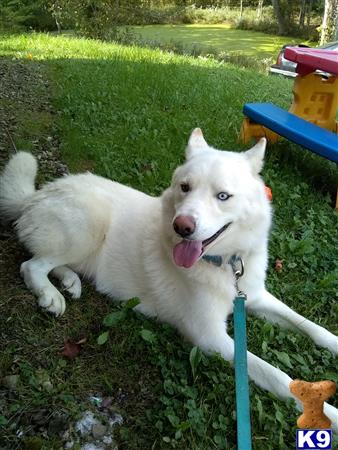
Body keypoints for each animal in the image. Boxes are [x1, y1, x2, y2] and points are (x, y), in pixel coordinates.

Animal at [1, 128, 338, 430]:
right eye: (185, 187)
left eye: (223, 196)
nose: (182, 226)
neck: (222, 264)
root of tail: (38, 194)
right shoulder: (211, 337)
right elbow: (277, 375)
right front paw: (329, 415)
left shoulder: (253, 297)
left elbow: (310, 327)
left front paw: (332, 342)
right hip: (88, 226)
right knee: (31, 265)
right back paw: (50, 294)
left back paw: (70, 281)